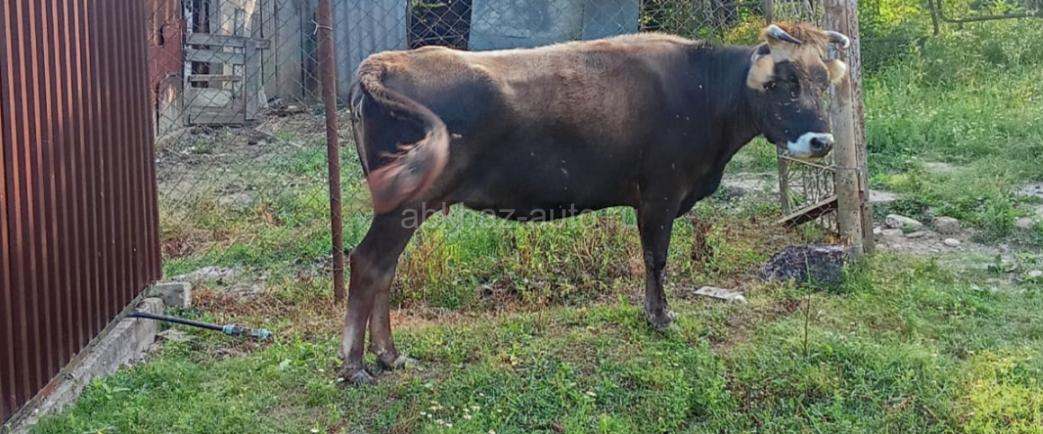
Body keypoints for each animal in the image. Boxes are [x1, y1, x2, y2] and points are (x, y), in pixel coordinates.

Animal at [342, 22, 851, 383]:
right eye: (784, 82)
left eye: (822, 82)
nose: (822, 141)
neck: (704, 91)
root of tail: (385, 62)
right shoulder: (661, 192)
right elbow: (655, 258)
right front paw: (660, 318)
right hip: (404, 204)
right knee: (368, 262)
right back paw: (355, 365)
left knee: (385, 269)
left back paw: (389, 356)